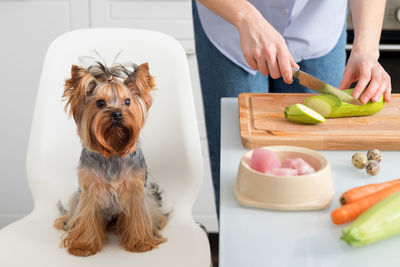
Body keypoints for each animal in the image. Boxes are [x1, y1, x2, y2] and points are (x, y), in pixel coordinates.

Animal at [53, 59, 167, 258]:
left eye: (127, 101)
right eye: (100, 103)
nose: (117, 113)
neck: (113, 150)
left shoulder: (136, 191)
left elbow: (138, 216)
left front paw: (139, 243)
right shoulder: (89, 192)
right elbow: (87, 218)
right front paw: (84, 246)